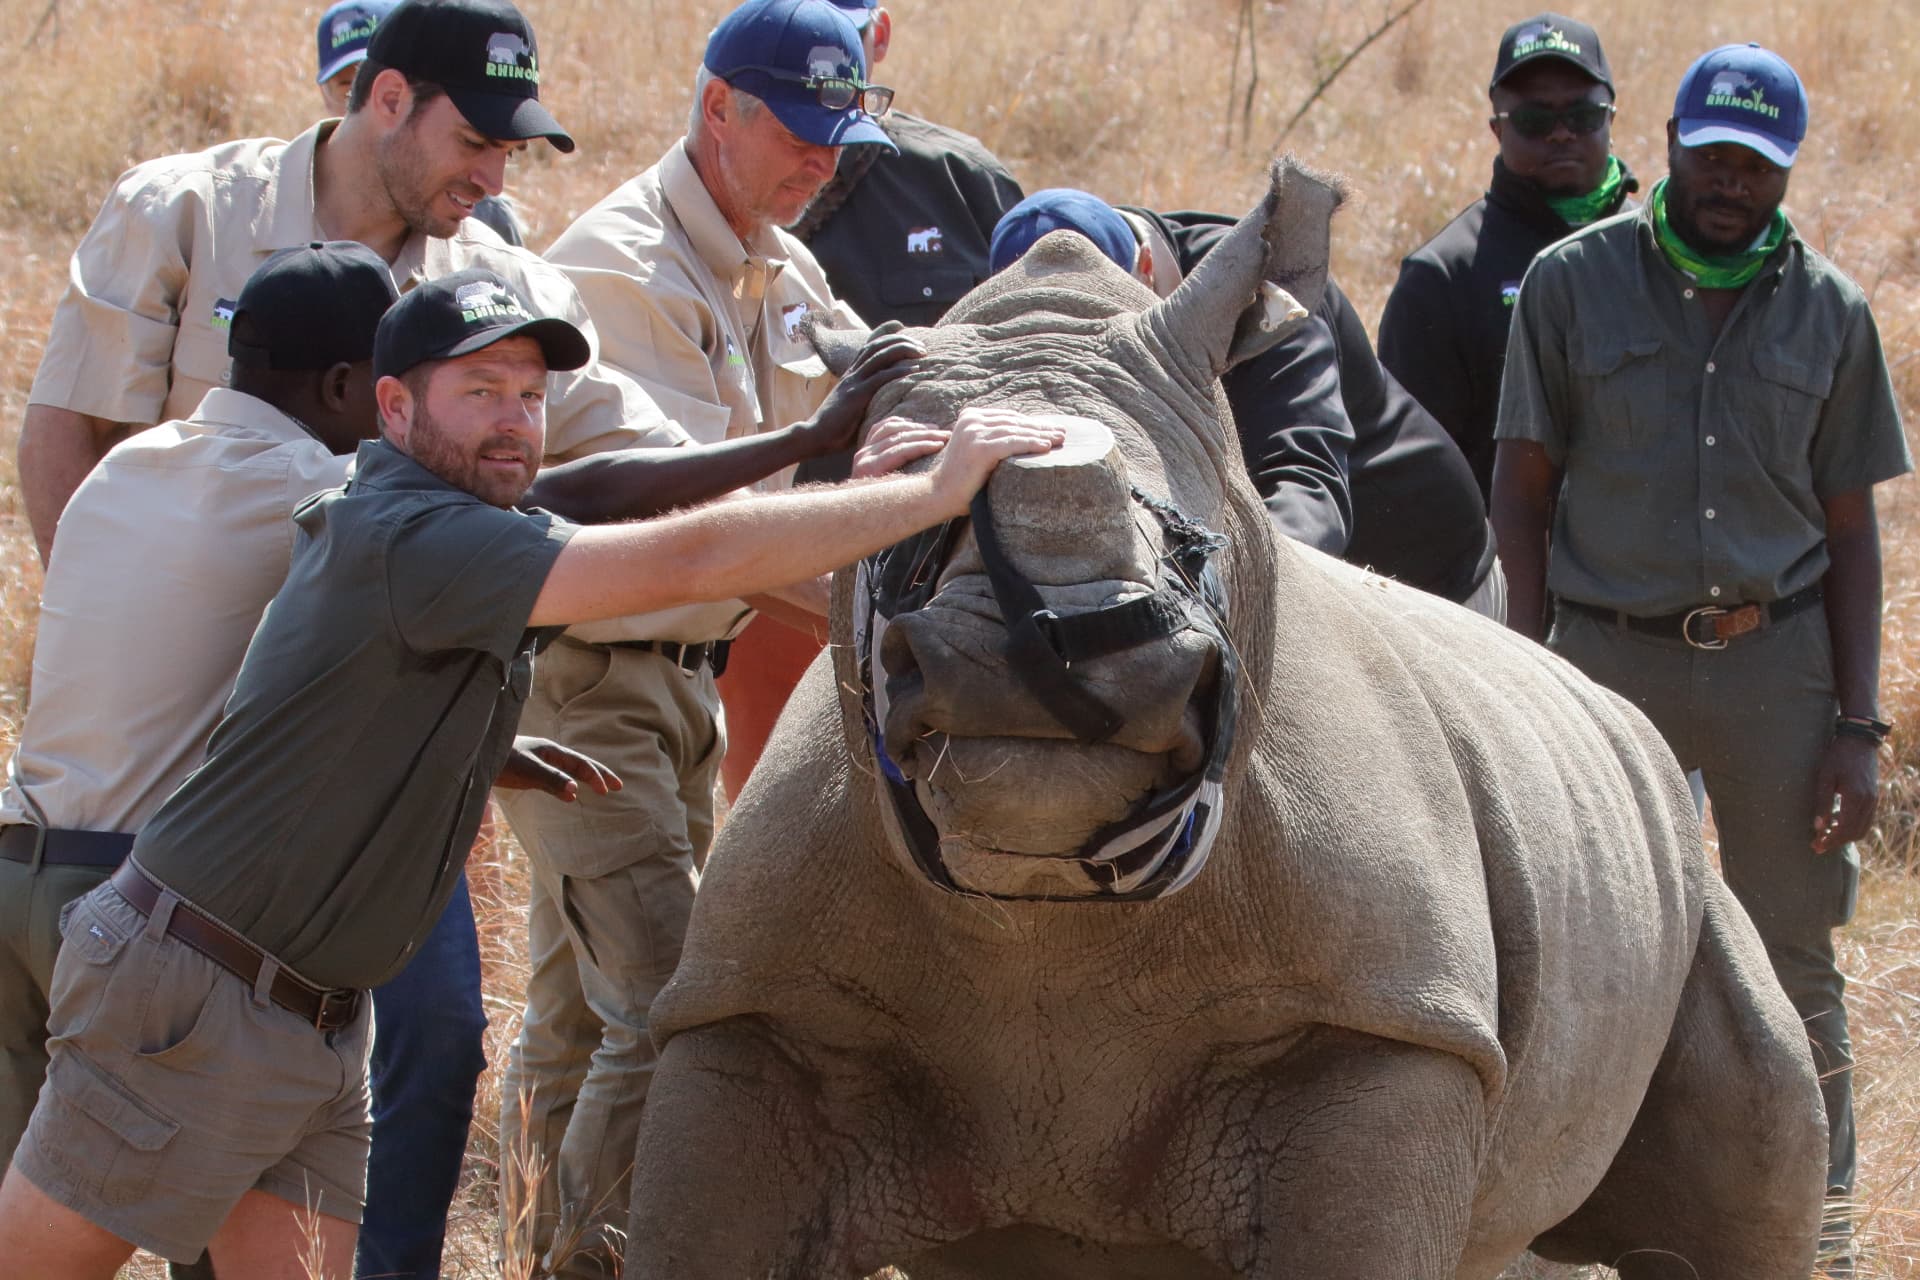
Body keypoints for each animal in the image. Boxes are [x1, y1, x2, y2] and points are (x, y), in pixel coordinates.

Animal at [622, 157, 1828, 1279]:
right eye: (900, 517)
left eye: (1189, 542)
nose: (1027, 659)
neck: (1041, 908)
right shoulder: (751, 1008)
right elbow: (699, 1225)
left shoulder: (1388, 1023)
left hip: (1679, 861)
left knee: (1756, 1148)